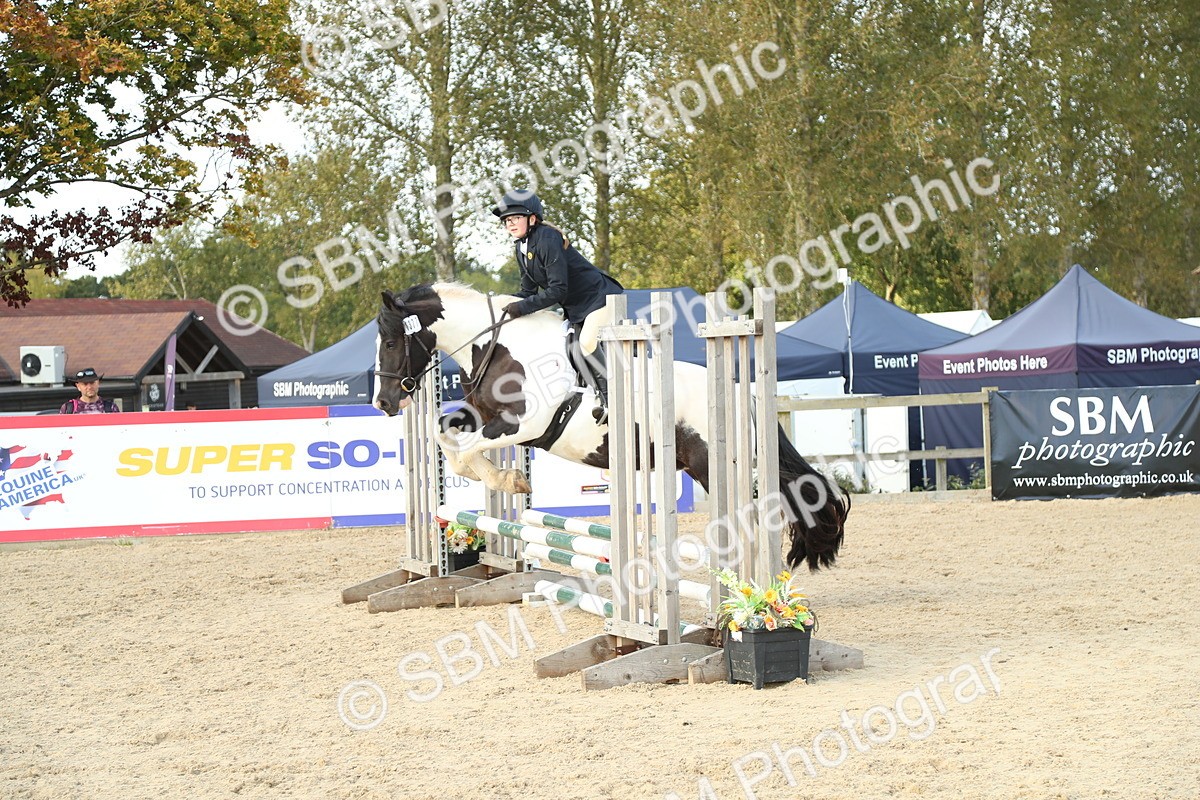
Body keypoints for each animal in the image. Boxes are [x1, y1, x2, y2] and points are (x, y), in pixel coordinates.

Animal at [372, 282, 848, 571]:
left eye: (392, 342)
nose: (384, 402)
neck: (502, 347)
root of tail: (743, 394)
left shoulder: (521, 425)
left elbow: (465, 451)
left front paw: (509, 480)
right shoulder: (484, 416)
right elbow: (445, 435)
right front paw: (505, 479)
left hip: (715, 467)